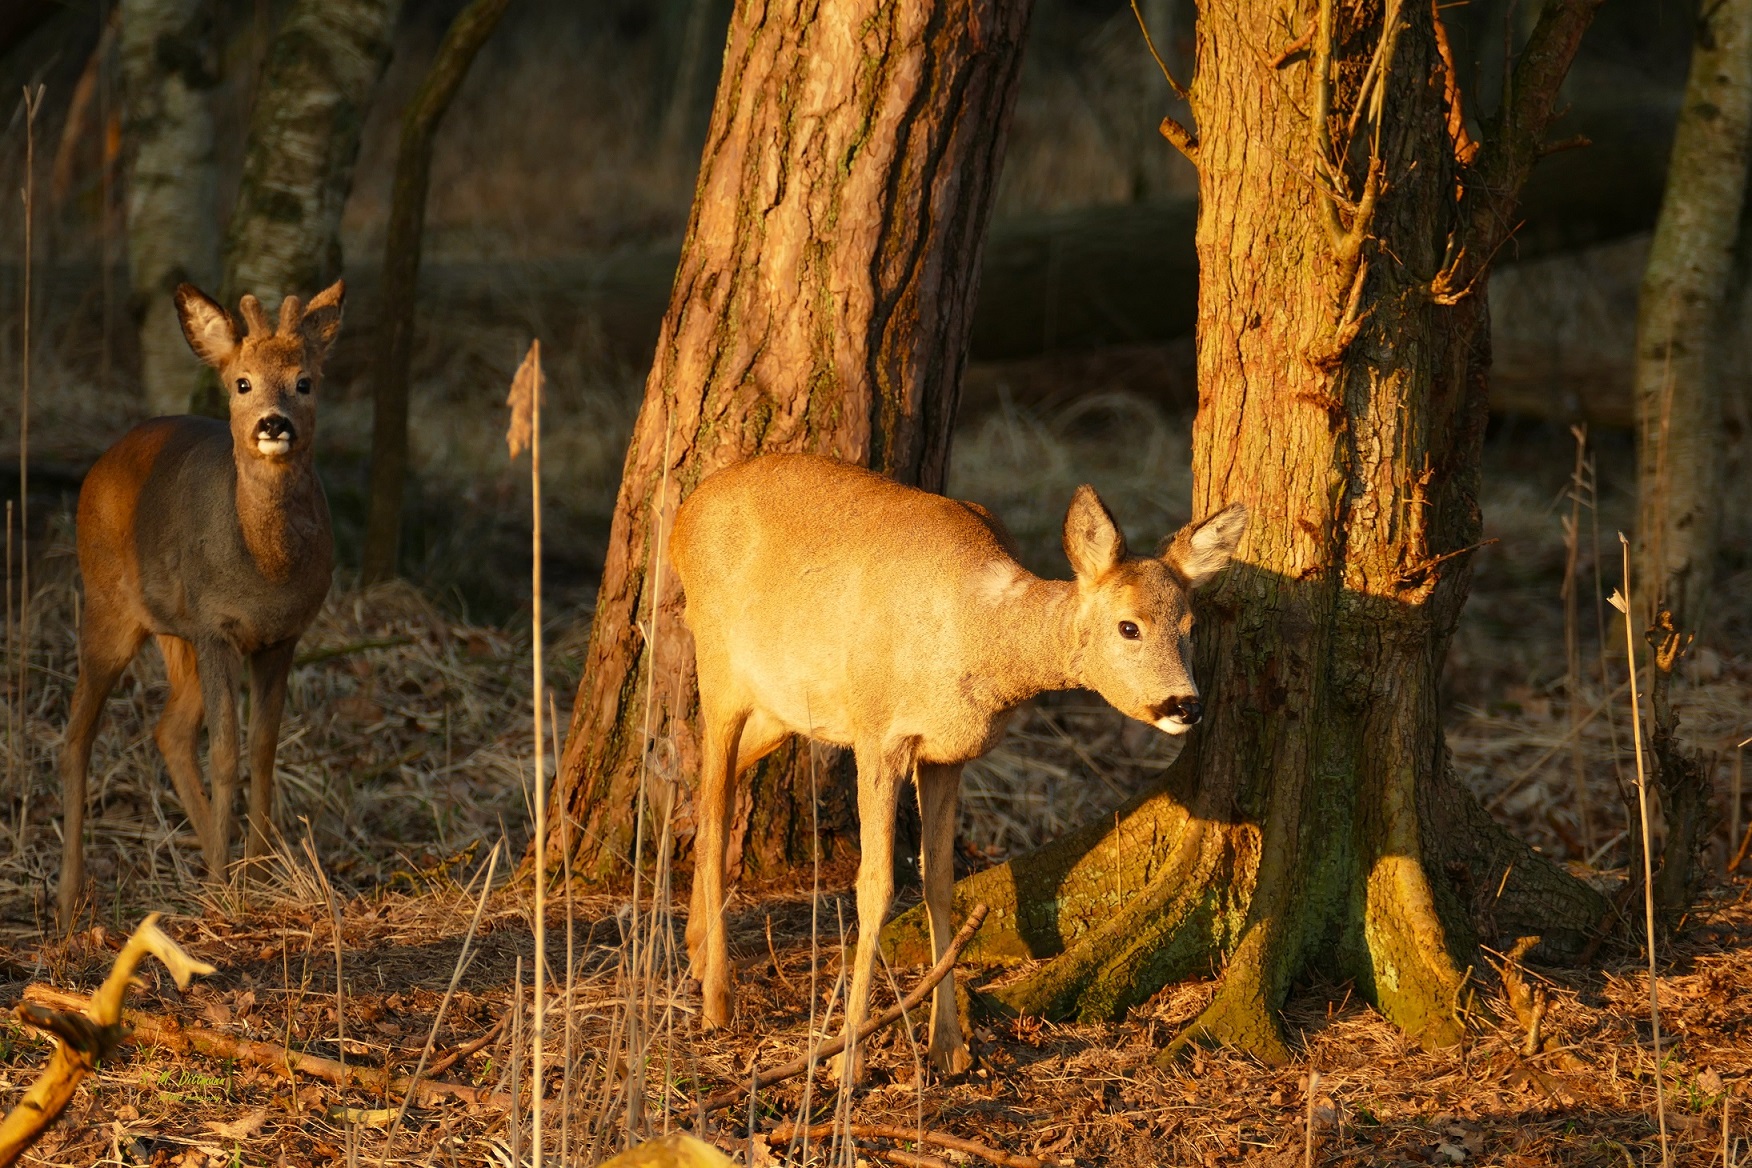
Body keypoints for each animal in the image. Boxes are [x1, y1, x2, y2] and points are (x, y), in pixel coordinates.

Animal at [60, 283, 339, 931]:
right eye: (242, 382)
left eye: (305, 380)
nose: (273, 423)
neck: (264, 571)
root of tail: (103, 460)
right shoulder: (218, 629)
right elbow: (226, 752)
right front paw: (230, 887)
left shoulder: (281, 638)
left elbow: (263, 750)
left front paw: (256, 877)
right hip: (107, 606)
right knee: (78, 736)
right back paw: (67, 901)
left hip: (174, 631)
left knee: (168, 730)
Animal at [669, 455, 1247, 1078]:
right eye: (1128, 626)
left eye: (1191, 628)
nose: (1185, 705)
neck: (973, 631)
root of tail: (683, 515)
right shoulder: (879, 733)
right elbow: (875, 885)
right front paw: (847, 1061)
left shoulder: (947, 754)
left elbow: (940, 883)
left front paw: (948, 1046)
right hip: (720, 666)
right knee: (713, 795)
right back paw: (718, 998)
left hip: (781, 708)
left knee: (713, 784)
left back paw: (697, 952)